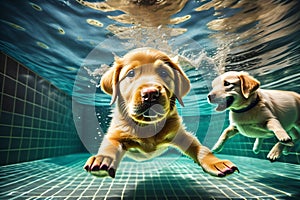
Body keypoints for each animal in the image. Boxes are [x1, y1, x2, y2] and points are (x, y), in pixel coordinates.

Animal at [83, 48, 238, 178]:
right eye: (131, 73)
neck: (148, 125)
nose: (151, 94)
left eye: (164, 73)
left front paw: (216, 163)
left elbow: (202, 149)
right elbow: (109, 145)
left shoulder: (182, 135)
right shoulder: (116, 133)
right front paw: (103, 159)